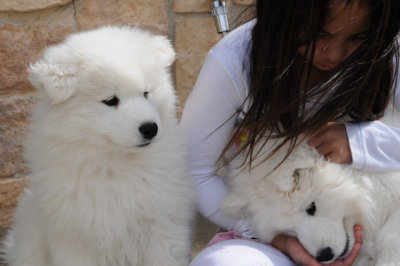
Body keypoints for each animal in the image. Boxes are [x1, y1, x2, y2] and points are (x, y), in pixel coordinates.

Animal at [1, 26, 195, 266]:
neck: (115, 165)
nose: (150, 128)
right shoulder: (76, 240)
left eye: (146, 93)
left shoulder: (163, 227)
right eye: (111, 101)